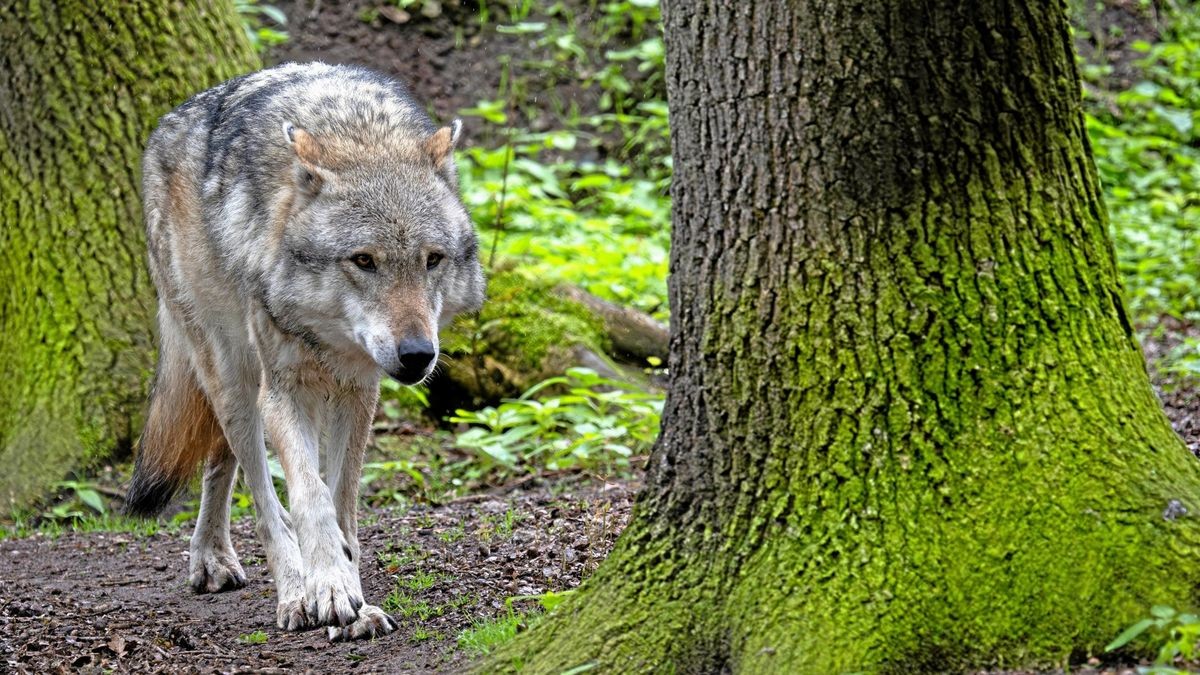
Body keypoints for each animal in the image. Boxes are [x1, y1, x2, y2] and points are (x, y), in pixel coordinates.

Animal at [125, 62, 484, 641]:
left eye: (432, 259)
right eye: (363, 260)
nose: (417, 355)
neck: (357, 133)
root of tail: (167, 124)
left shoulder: (358, 393)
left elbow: (342, 504)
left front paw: (355, 597)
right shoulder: (284, 393)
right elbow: (309, 499)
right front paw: (328, 590)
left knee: (220, 461)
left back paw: (214, 556)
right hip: (235, 378)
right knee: (261, 493)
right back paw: (290, 591)